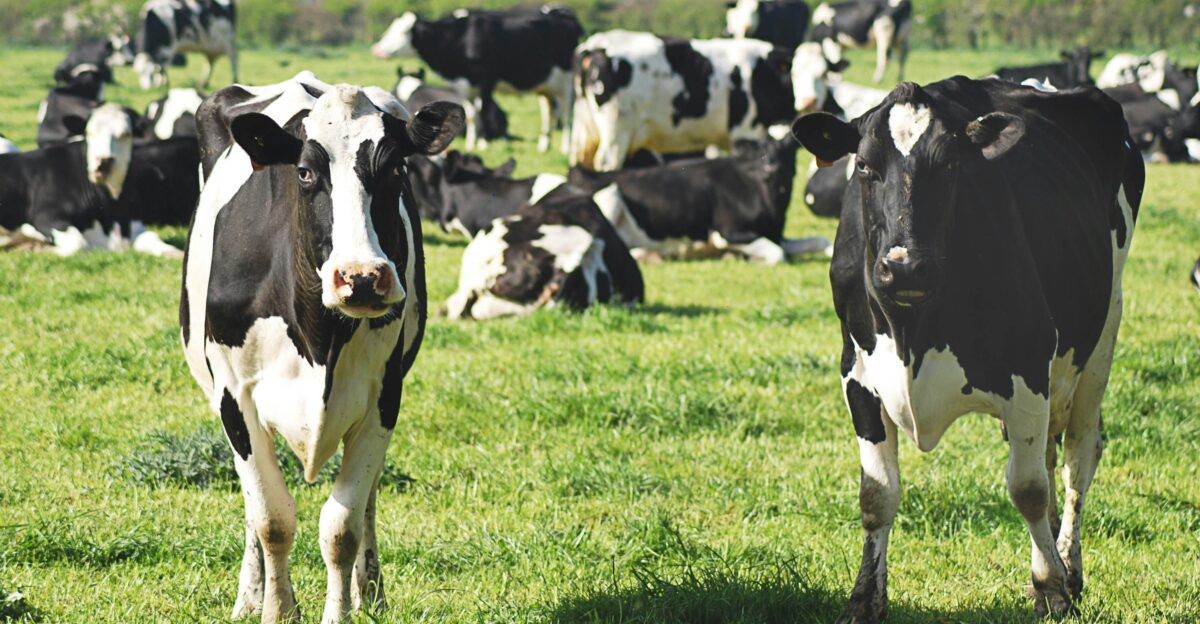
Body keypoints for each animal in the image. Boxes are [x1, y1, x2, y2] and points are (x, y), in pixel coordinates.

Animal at [180, 73, 463, 623]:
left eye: (396, 168)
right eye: (306, 172)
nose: (362, 277)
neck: (319, 339)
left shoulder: (383, 397)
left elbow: (341, 526)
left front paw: (342, 608)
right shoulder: (233, 397)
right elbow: (271, 518)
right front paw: (275, 609)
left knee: (368, 500)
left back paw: (370, 591)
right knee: (253, 507)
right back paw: (249, 595)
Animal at [371, 5, 582, 153]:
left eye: (402, 32)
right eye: (389, 29)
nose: (377, 50)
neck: (461, 37)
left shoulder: (486, 81)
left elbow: (483, 111)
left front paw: (483, 144)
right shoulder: (465, 86)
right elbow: (472, 115)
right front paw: (471, 143)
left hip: (567, 81)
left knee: (568, 113)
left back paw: (566, 147)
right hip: (546, 86)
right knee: (550, 112)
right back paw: (544, 145)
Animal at [568, 136, 830, 263]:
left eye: (787, 151)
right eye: (760, 153)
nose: (771, 170)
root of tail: (585, 172)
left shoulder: (776, 234)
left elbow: (820, 241)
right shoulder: (727, 232)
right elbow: (778, 254)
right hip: (609, 196)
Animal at [790, 76, 1143, 622]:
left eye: (951, 163)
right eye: (864, 164)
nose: (904, 266)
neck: (912, 330)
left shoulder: (1028, 367)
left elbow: (1028, 489)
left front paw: (1053, 590)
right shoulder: (858, 375)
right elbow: (877, 494)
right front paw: (864, 597)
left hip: (1103, 333)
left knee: (1077, 459)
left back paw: (1069, 567)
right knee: (1049, 455)